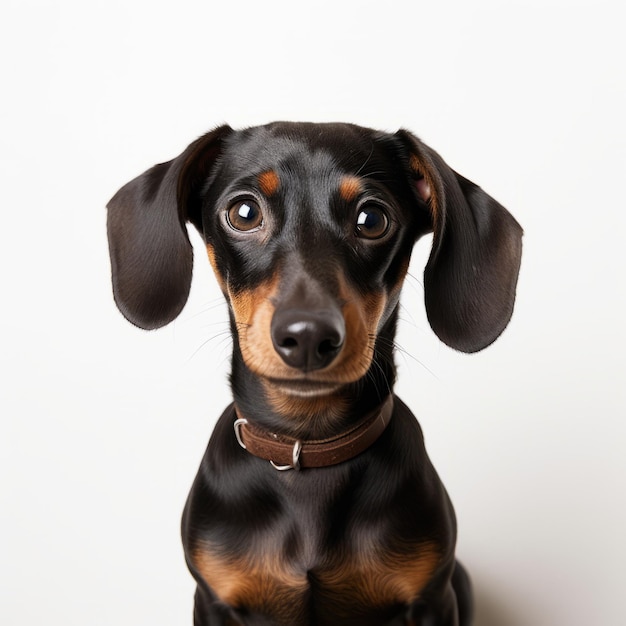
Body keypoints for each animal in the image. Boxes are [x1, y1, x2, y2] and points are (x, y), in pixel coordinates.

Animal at [106, 119, 520, 620]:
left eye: (372, 220)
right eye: (244, 212)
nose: (307, 337)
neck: (307, 445)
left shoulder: (432, 599)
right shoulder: (212, 601)